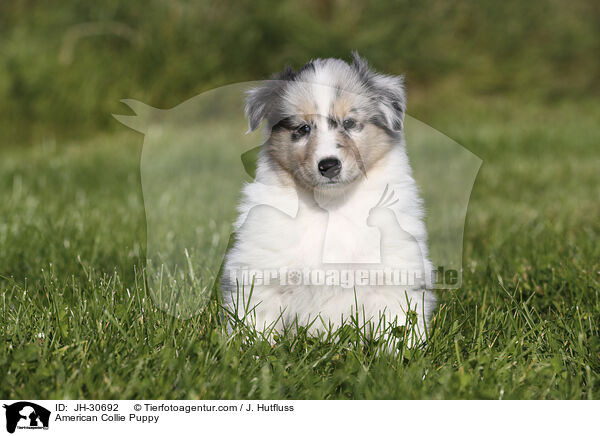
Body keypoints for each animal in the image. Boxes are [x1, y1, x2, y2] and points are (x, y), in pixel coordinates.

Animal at [220, 52, 436, 342]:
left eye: (349, 123)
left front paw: (404, 352)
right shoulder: (262, 272)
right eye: (302, 128)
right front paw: (251, 349)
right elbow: (257, 323)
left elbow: (398, 326)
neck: (331, 205)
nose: (329, 165)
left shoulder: (391, 275)